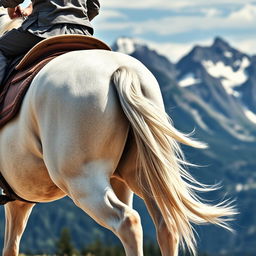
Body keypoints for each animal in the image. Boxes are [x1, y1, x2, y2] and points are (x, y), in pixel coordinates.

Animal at [0, 9, 236, 256]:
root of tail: (121, 70)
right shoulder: (21, 200)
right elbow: (12, 244)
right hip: (139, 174)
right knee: (167, 224)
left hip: (82, 180)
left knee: (127, 221)